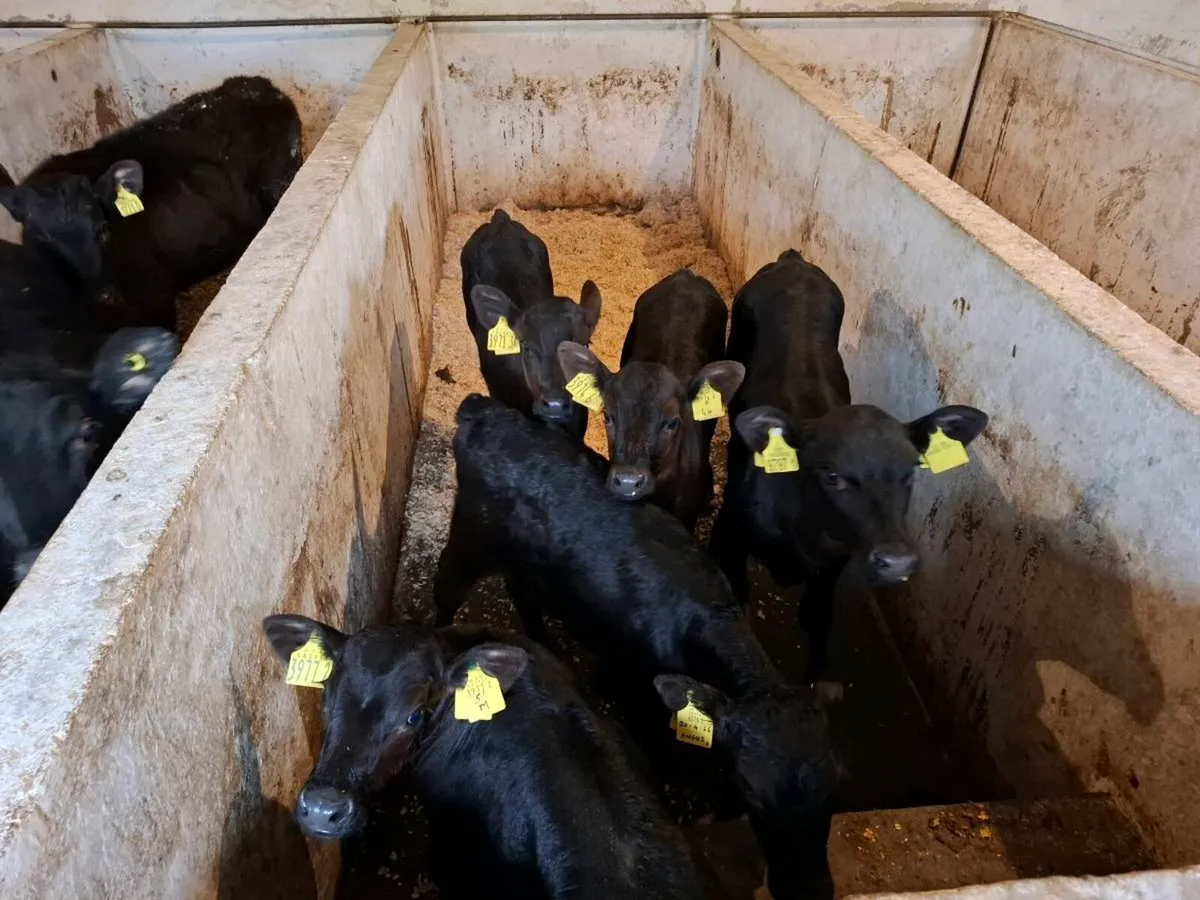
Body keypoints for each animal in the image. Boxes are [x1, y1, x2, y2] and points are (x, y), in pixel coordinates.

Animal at [435, 395, 839, 898]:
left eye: (835, 787)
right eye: (755, 794)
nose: (810, 889)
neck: (704, 617)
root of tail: (483, 409)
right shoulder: (634, 689)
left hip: (526, 560)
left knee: (524, 594)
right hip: (470, 537)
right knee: (446, 588)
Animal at [710, 250, 989, 678]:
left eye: (912, 470)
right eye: (831, 473)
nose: (897, 560)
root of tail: (792, 260)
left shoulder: (832, 565)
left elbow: (816, 616)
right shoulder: (729, 538)